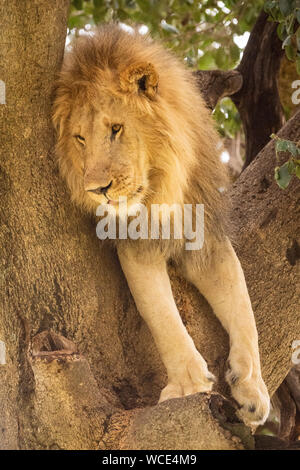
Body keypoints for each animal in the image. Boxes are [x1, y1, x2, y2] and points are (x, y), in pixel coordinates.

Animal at [52, 23, 270, 426]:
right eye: (79, 137)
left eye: (116, 128)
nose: (97, 190)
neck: (163, 185)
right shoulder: (135, 242)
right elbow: (161, 315)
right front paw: (187, 385)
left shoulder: (206, 233)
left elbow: (243, 307)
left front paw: (253, 390)